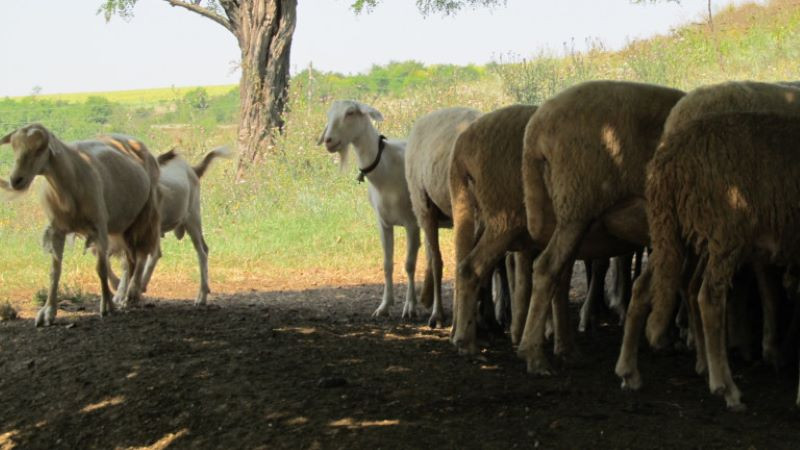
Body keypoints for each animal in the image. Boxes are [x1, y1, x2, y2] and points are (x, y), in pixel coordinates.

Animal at [0, 124, 162, 326]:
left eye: (39, 148)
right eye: (14, 147)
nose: (16, 180)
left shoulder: (99, 226)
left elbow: (100, 268)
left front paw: (107, 306)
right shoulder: (57, 229)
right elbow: (54, 271)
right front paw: (48, 313)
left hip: (145, 214)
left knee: (141, 254)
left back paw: (132, 292)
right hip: (123, 223)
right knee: (129, 260)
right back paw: (123, 294)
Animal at [316, 101, 422, 320]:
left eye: (350, 112)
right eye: (328, 114)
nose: (328, 140)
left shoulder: (411, 223)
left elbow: (409, 264)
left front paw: (410, 307)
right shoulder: (383, 222)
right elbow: (387, 264)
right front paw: (384, 306)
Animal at [520, 81, 684, 376]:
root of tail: (535, 129)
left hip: (567, 212)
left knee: (560, 275)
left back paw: (567, 349)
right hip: (577, 202)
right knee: (547, 269)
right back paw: (535, 356)